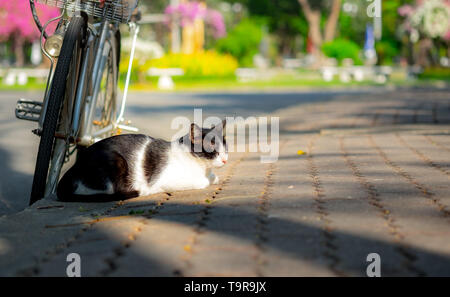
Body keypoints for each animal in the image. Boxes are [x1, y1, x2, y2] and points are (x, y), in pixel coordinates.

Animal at [57, 121, 227, 201]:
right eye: (212, 147)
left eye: (225, 145)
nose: (225, 159)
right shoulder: (169, 179)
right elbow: (202, 181)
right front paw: (208, 180)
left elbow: (213, 177)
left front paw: (213, 177)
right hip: (116, 162)